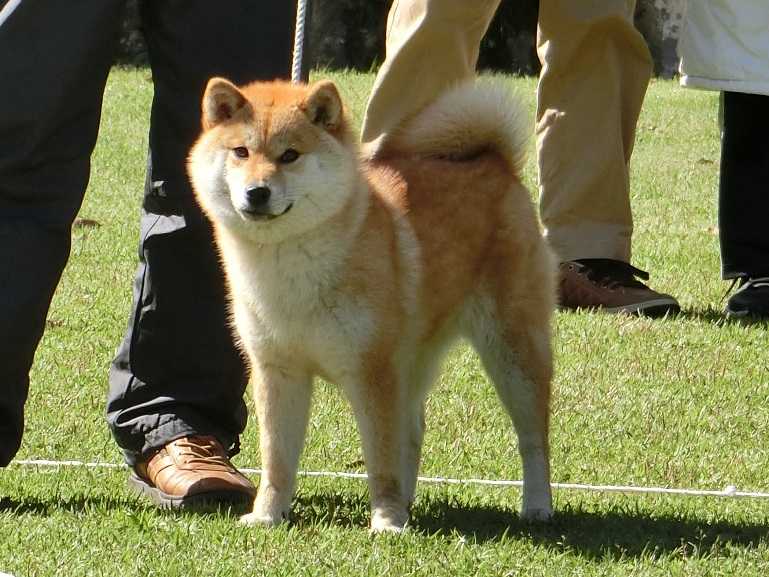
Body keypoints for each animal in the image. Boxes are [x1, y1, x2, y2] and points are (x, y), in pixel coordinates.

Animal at [188, 77, 555, 532]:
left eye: (290, 155)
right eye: (241, 151)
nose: (257, 192)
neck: (289, 269)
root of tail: (494, 161)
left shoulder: (372, 371)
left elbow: (380, 458)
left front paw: (385, 520)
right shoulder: (278, 370)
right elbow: (277, 460)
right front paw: (267, 514)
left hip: (513, 350)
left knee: (533, 438)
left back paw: (537, 505)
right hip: (414, 359)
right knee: (413, 430)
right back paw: (409, 502)